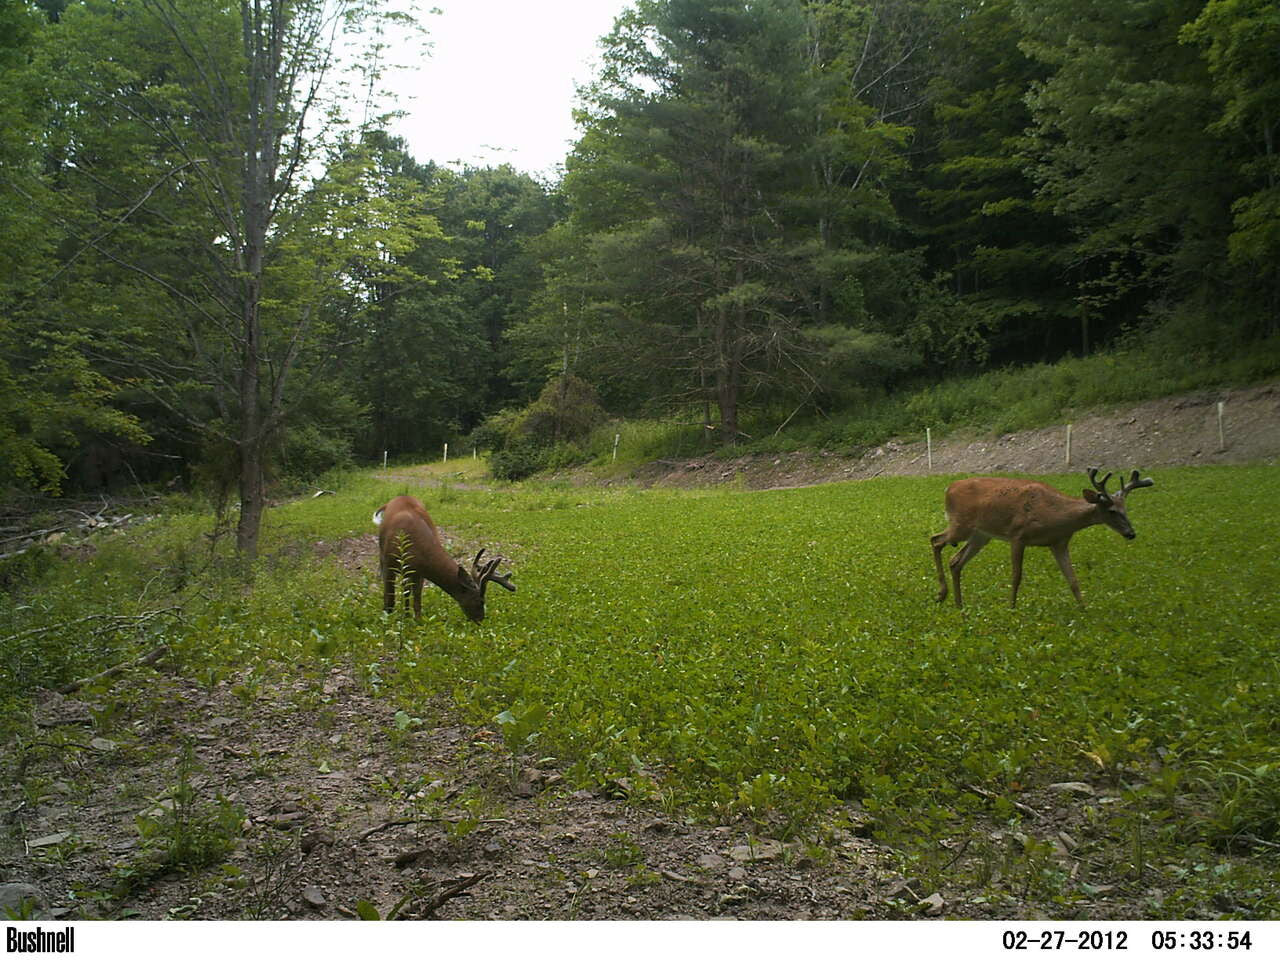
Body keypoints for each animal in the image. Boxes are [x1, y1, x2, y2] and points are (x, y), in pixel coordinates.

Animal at [371, 496, 514, 624]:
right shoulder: (389, 563)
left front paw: (418, 622)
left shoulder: (419, 571)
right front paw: (387, 623)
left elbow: (417, 600)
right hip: (383, 555)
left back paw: (406, 616)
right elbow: (390, 600)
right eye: (481, 601)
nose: (480, 619)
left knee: (406, 589)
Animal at [926, 471, 1157, 611]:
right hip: (961, 525)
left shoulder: (1059, 542)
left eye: (1125, 509)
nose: (1131, 533)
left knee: (955, 561)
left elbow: (1072, 579)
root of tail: (949, 488)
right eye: (1111, 511)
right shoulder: (1018, 535)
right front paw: (1011, 607)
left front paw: (1084, 608)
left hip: (981, 535)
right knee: (936, 540)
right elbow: (1016, 576)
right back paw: (941, 594)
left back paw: (959, 604)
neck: (1055, 515)